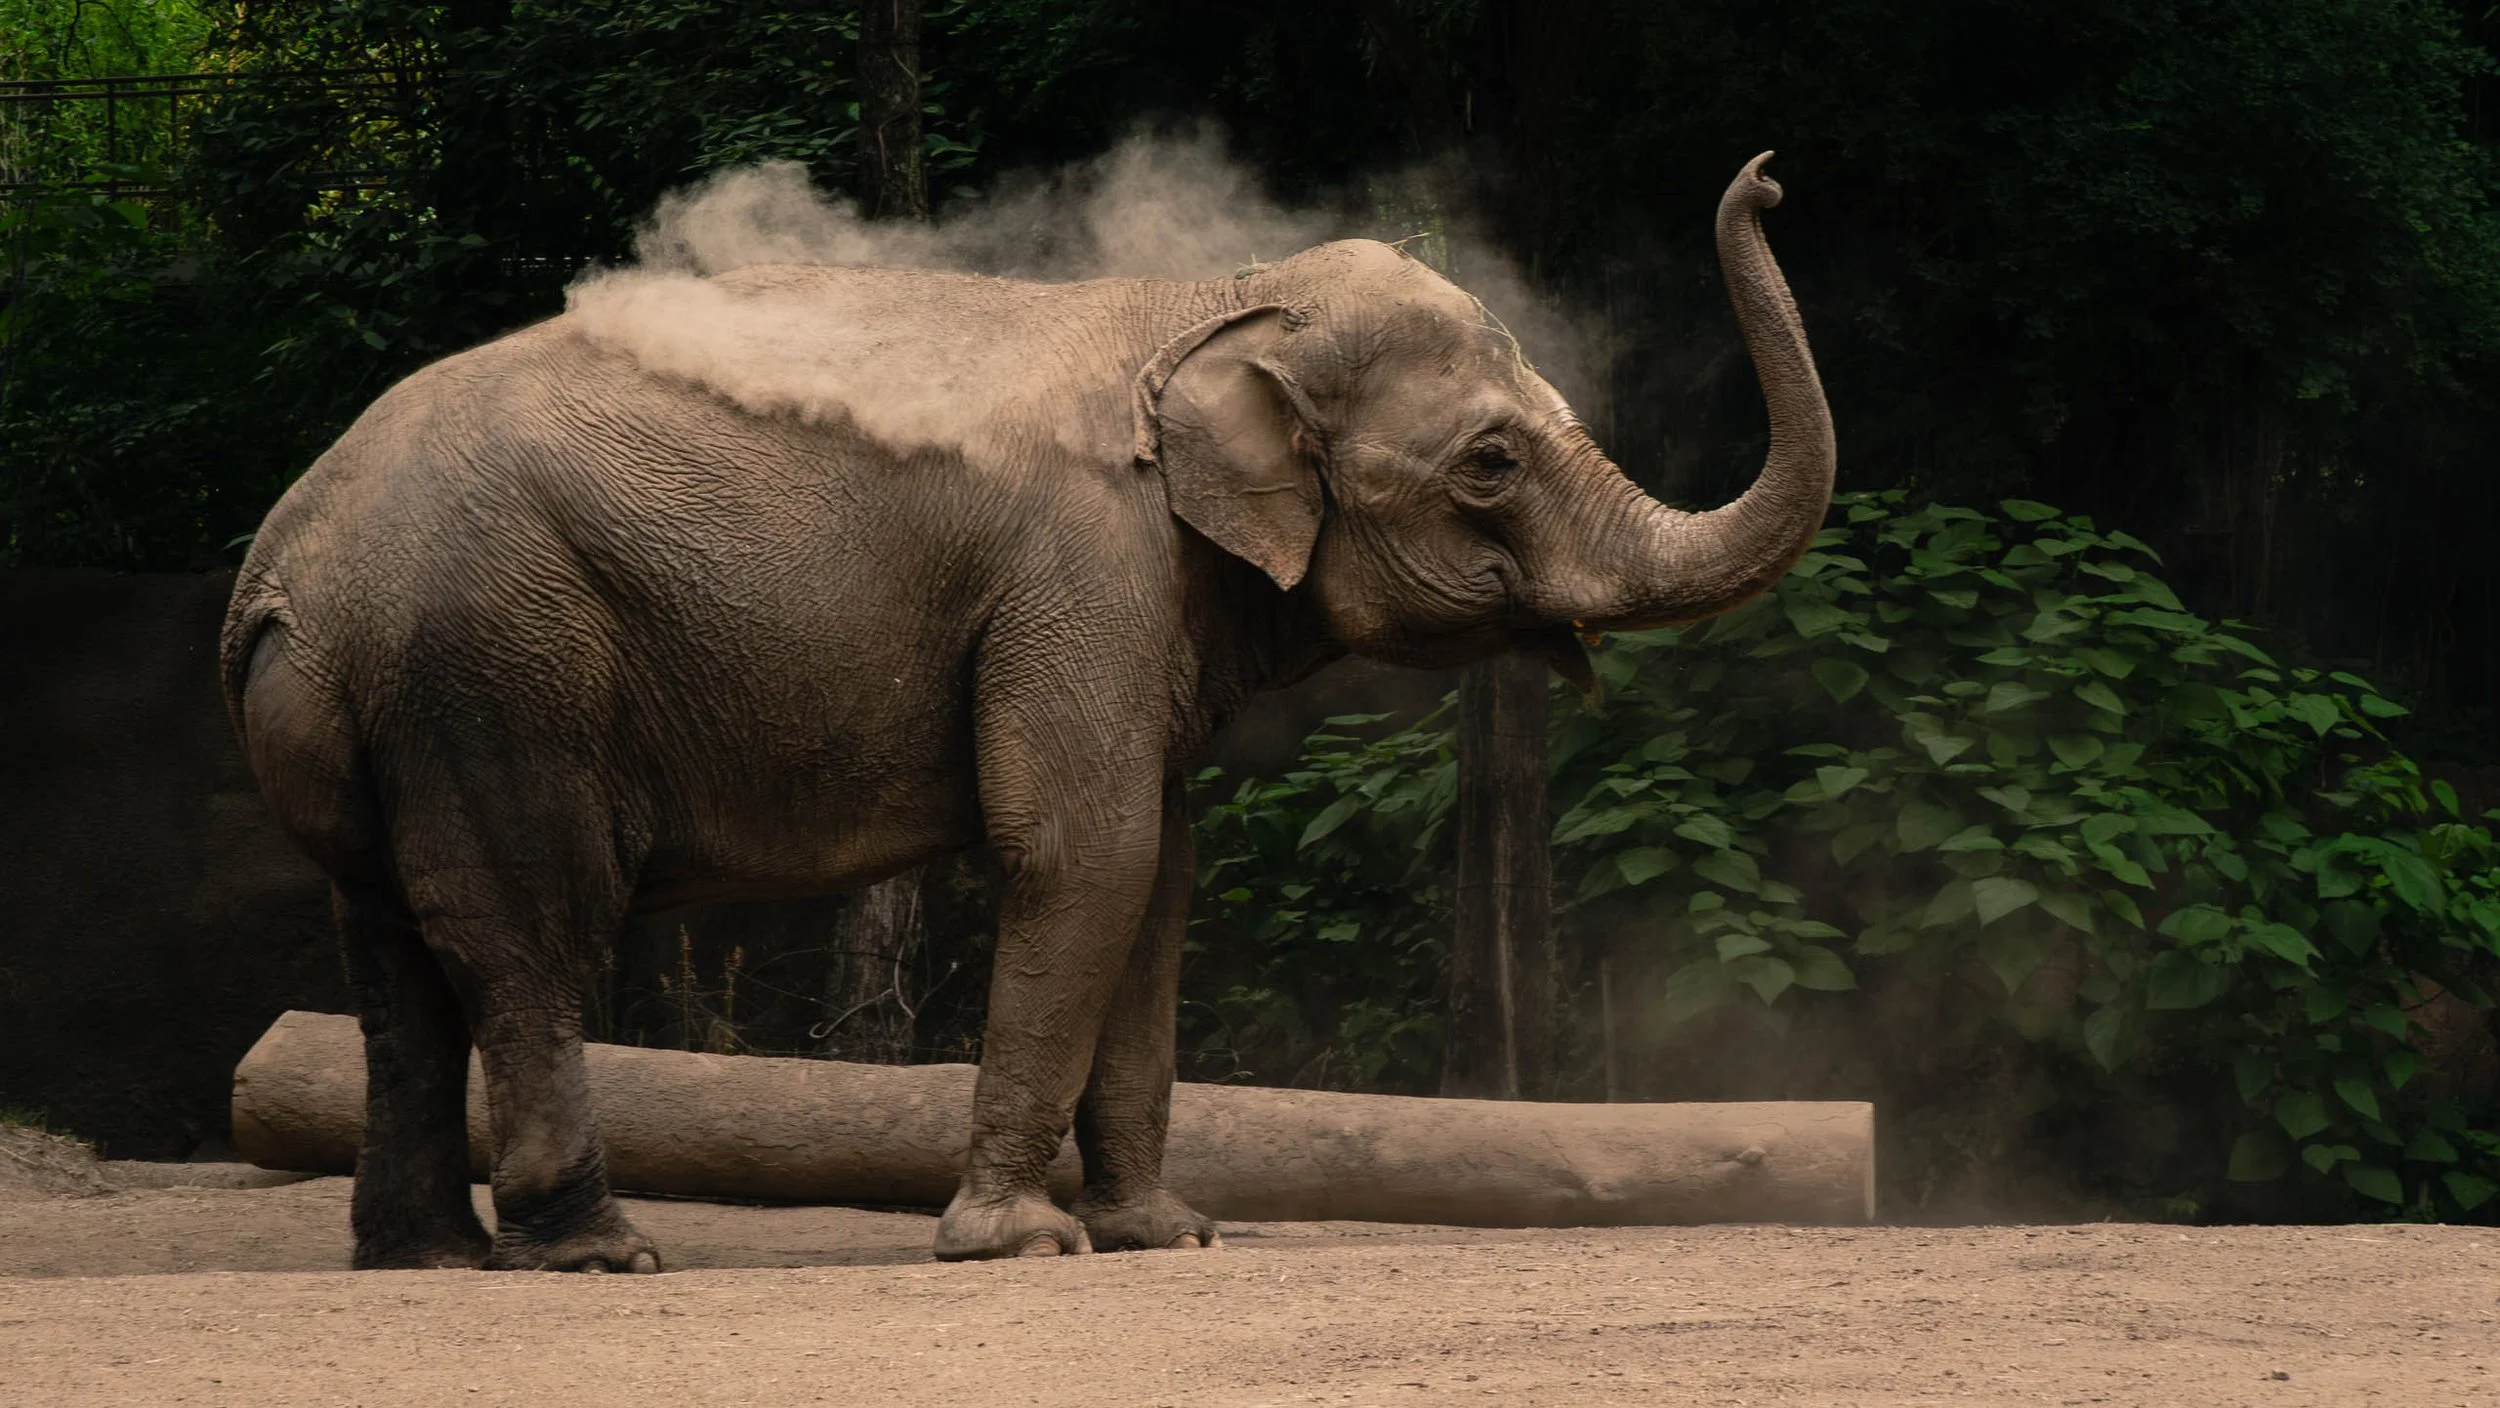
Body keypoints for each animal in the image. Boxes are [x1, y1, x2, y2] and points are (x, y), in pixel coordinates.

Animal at [220, 153, 1834, 1271]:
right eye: (1492, 462)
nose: (1765, 175)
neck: (1210, 304)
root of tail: (278, 572)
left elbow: (1161, 877)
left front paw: (1167, 1237)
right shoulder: (1084, 566)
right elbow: (1087, 853)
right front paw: (1019, 1245)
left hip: (392, 702)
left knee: (395, 951)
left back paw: (427, 1256)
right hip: (495, 668)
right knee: (529, 928)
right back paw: (600, 1255)